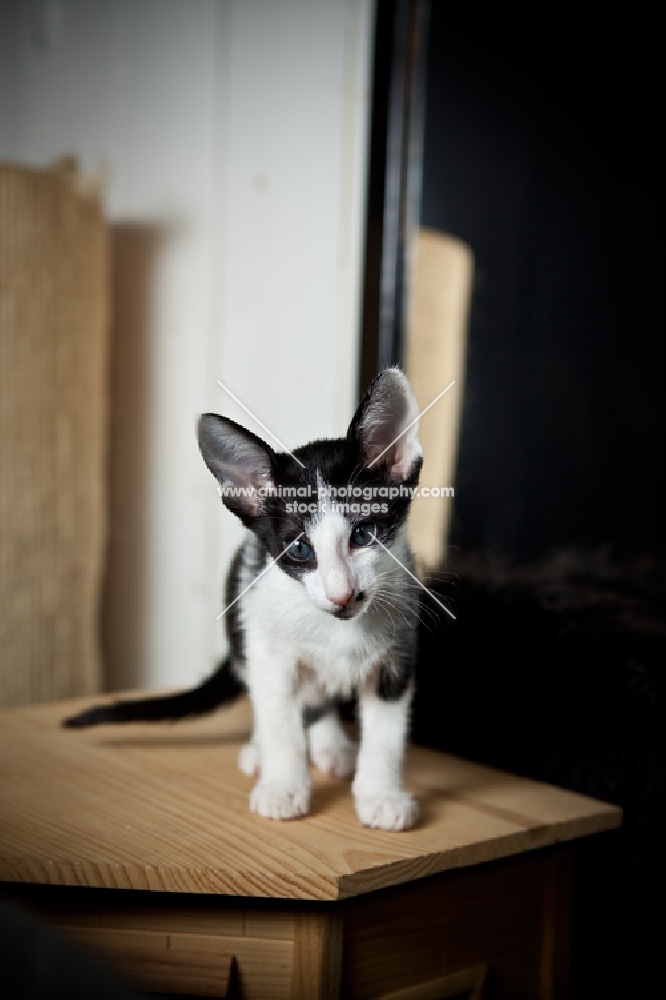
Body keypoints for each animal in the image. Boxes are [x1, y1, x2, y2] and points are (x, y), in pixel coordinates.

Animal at [66, 372, 420, 832]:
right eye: (300, 548)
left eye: (363, 534)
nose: (341, 594)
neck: (340, 629)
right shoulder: (269, 648)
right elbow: (279, 720)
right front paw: (283, 785)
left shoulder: (399, 653)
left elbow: (386, 732)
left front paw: (381, 794)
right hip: (246, 630)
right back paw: (263, 751)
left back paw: (332, 746)